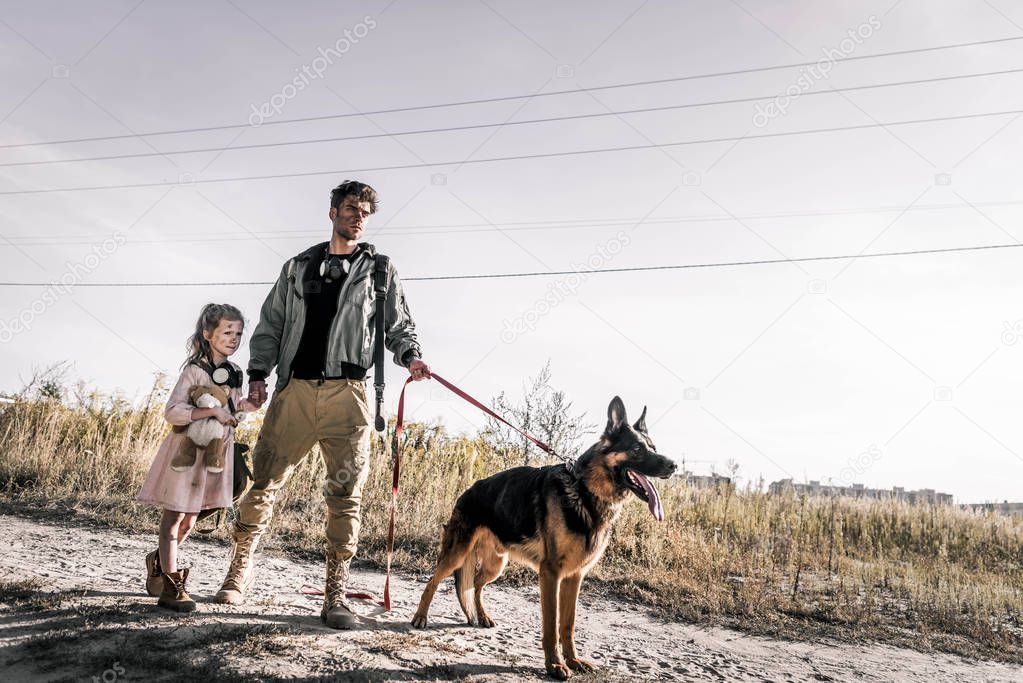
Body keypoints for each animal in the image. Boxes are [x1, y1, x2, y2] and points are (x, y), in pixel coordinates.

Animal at [411, 394, 675, 678]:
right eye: (637, 449)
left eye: (653, 446)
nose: (673, 465)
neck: (584, 490)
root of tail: (467, 492)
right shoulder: (551, 574)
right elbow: (551, 625)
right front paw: (555, 665)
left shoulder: (574, 577)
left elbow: (568, 625)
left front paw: (574, 660)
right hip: (457, 554)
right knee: (434, 581)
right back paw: (420, 617)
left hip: (496, 564)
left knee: (476, 585)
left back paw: (482, 617)